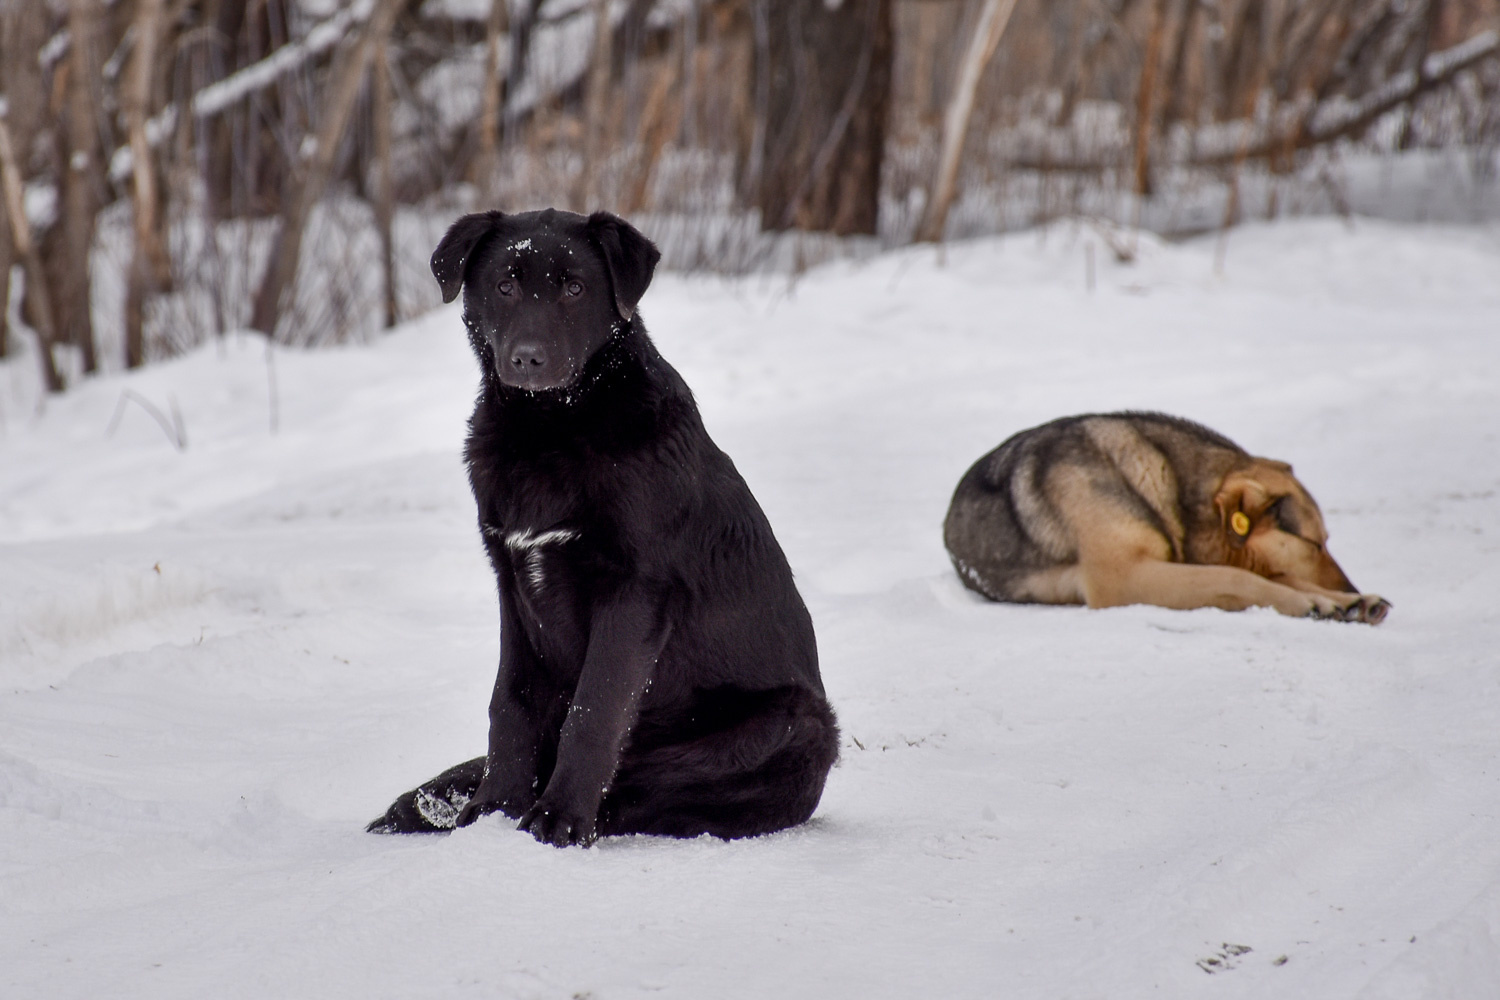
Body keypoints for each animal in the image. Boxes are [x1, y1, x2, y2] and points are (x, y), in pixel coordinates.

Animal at [360, 209, 834, 845]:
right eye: (504, 285)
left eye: (574, 289)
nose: (527, 358)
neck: (549, 429)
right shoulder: (513, 585)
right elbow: (510, 704)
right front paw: (491, 811)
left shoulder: (633, 592)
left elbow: (593, 712)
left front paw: (556, 820)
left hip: (787, 725)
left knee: (653, 786)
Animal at [942, 410, 1386, 620]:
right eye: (1315, 543)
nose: (1350, 585)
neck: (1164, 479)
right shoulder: (1125, 579)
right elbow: (1237, 578)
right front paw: (1306, 602)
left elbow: (1258, 576)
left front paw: (1348, 600)